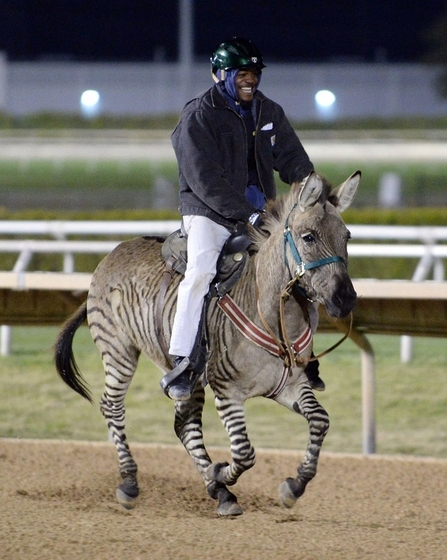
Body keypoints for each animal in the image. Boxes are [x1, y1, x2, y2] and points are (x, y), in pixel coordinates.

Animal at [54, 171, 360, 516]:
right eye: (308, 237)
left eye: (347, 236)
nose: (345, 298)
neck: (269, 313)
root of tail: (112, 254)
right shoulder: (227, 392)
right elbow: (244, 452)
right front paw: (221, 471)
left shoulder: (288, 387)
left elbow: (320, 420)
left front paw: (294, 485)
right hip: (119, 352)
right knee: (113, 407)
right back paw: (131, 482)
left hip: (186, 380)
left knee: (184, 426)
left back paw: (220, 492)